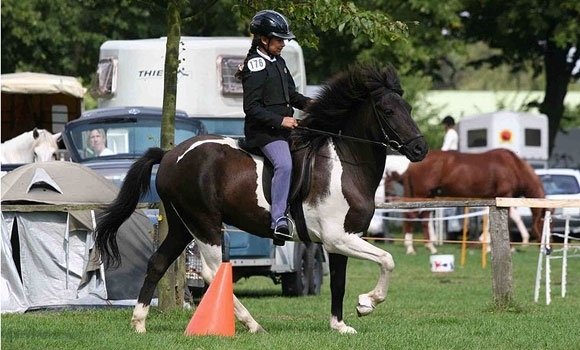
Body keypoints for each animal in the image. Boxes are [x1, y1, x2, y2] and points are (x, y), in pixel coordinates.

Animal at [95, 65, 428, 334]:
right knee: (212, 272)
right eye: (387, 110)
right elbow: (387, 259)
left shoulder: (343, 239)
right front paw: (367, 303)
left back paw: (139, 324)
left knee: (158, 262)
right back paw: (251, 324)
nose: (420, 149)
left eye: (409, 107)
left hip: (181, 225)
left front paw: (340, 325)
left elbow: (338, 281)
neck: (345, 163)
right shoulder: (338, 237)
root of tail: (169, 155)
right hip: (205, 224)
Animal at [388, 148, 548, 254]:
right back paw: (410, 248)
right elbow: (508, 220)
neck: (514, 167)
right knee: (412, 216)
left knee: (424, 218)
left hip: (428, 196)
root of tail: (411, 164)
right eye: (546, 222)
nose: (548, 248)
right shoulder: (505, 195)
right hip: (421, 195)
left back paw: (430, 247)